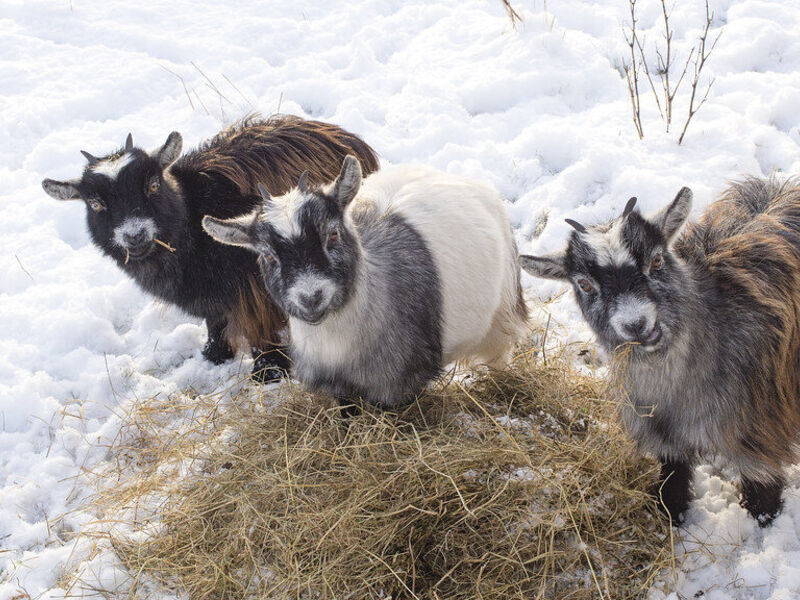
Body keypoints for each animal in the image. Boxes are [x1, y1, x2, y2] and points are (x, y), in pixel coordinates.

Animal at [42, 115, 379, 381]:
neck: (191, 223)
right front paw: (215, 353)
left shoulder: (253, 285)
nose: (134, 235)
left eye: (153, 185)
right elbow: (215, 320)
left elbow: (260, 325)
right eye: (95, 203)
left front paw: (268, 371)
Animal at [203, 156, 528, 408]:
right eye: (268, 255)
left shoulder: (399, 384)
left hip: (503, 312)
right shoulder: (338, 388)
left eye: (332, 233)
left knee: (498, 354)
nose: (311, 298)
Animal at [520, 178, 800, 526]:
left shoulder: (759, 433)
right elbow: (672, 481)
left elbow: (763, 495)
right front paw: (672, 513)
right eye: (584, 284)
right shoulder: (664, 438)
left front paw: (763, 522)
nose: (636, 324)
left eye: (656, 260)